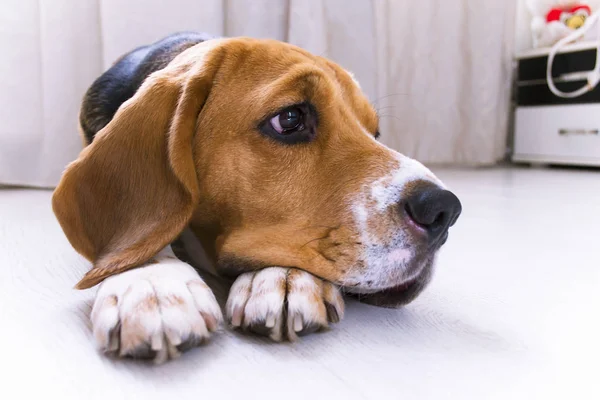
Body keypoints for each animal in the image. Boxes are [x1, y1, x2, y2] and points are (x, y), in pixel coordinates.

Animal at [52, 32, 464, 362]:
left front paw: (284, 278)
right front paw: (152, 284)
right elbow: (139, 242)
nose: (445, 211)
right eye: (290, 119)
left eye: (375, 133)